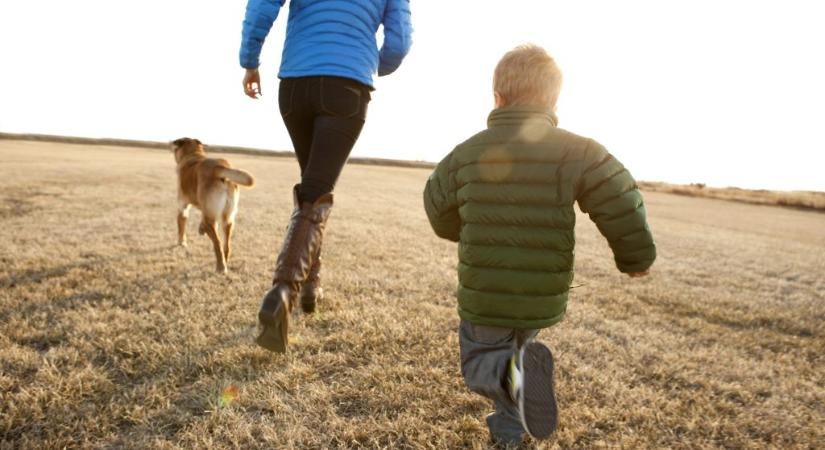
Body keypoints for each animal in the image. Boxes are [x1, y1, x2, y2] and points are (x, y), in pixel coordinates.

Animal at [171, 137, 254, 272]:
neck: (193, 154)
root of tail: (219, 167)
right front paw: (200, 228)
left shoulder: (183, 208)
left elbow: (181, 227)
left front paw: (181, 243)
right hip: (228, 219)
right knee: (226, 245)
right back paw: (224, 261)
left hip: (212, 219)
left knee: (217, 242)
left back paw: (221, 267)